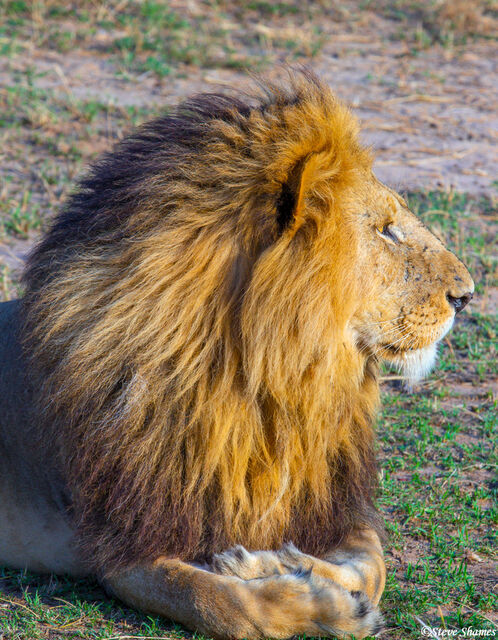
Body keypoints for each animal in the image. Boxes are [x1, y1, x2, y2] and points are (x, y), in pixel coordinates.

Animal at [0, 70, 473, 639]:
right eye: (384, 229)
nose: (468, 295)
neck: (272, 384)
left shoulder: (328, 504)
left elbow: (371, 565)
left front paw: (278, 561)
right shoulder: (123, 547)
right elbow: (224, 604)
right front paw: (320, 602)